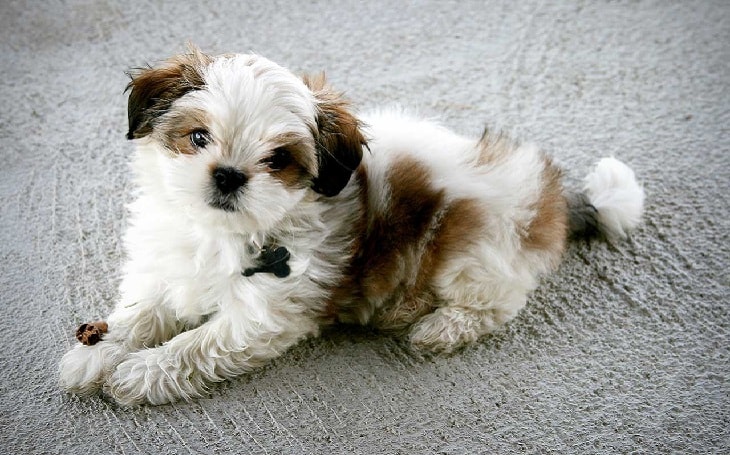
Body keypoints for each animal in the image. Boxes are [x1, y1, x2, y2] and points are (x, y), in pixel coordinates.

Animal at [61, 48, 644, 406]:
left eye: (278, 159)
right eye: (198, 137)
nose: (228, 175)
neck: (218, 232)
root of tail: (549, 196)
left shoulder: (265, 314)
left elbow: (196, 345)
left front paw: (141, 373)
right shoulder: (163, 268)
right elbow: (138, 314)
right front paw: (98, 354)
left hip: (475, 249)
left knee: (497, 302)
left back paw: (436, 326)